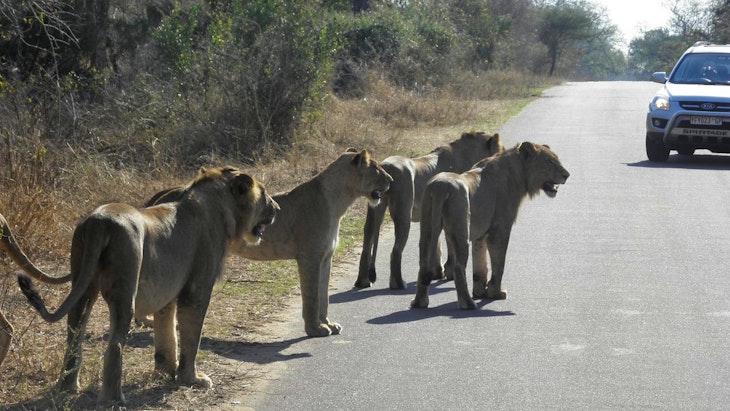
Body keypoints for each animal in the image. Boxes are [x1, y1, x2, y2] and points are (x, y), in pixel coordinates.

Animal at [17, 166, 279, 404]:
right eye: (265, 193)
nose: (277, 208)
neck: (220, 206)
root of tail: (99, 221)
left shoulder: (167, 292)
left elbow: (166, 333)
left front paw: (165, 372)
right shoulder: (196, 291)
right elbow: (191, 338)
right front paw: (191, 379)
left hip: (83, 284)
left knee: (74, 335)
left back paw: (68, 387)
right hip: (125, 286)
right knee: (115, 345)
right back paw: (114, 399)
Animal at [149, 150, 393, 338]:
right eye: (376, 168)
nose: (391, 181)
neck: (339, 202)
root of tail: (164, 194)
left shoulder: (326, 257)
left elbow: (323, 295)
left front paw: (328, 324)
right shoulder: (309, 257)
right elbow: (312, 296)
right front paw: (315, 329)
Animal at [355, 131, 504, 290]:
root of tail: (386, 166)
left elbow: (436, 243)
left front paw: (437, 272)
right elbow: (448, 244)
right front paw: (449, 271)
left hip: (373, 209)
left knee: (366, 245)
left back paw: (362, 282)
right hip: (403, 213)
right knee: (396, 250)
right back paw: (398, 283)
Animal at [411, 142, 570, 310]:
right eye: (549, 161)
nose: (567, 175)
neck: (519, 173)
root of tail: (440, 187)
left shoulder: (481, 234)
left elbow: (479, 264)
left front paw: (480, 292)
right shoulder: (500, 229)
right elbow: (499, 263)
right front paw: (496, 293)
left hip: (427, 228)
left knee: (423, 264)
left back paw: (419, 302)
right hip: (461, 232)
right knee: (458, 267)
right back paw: (468, 304)